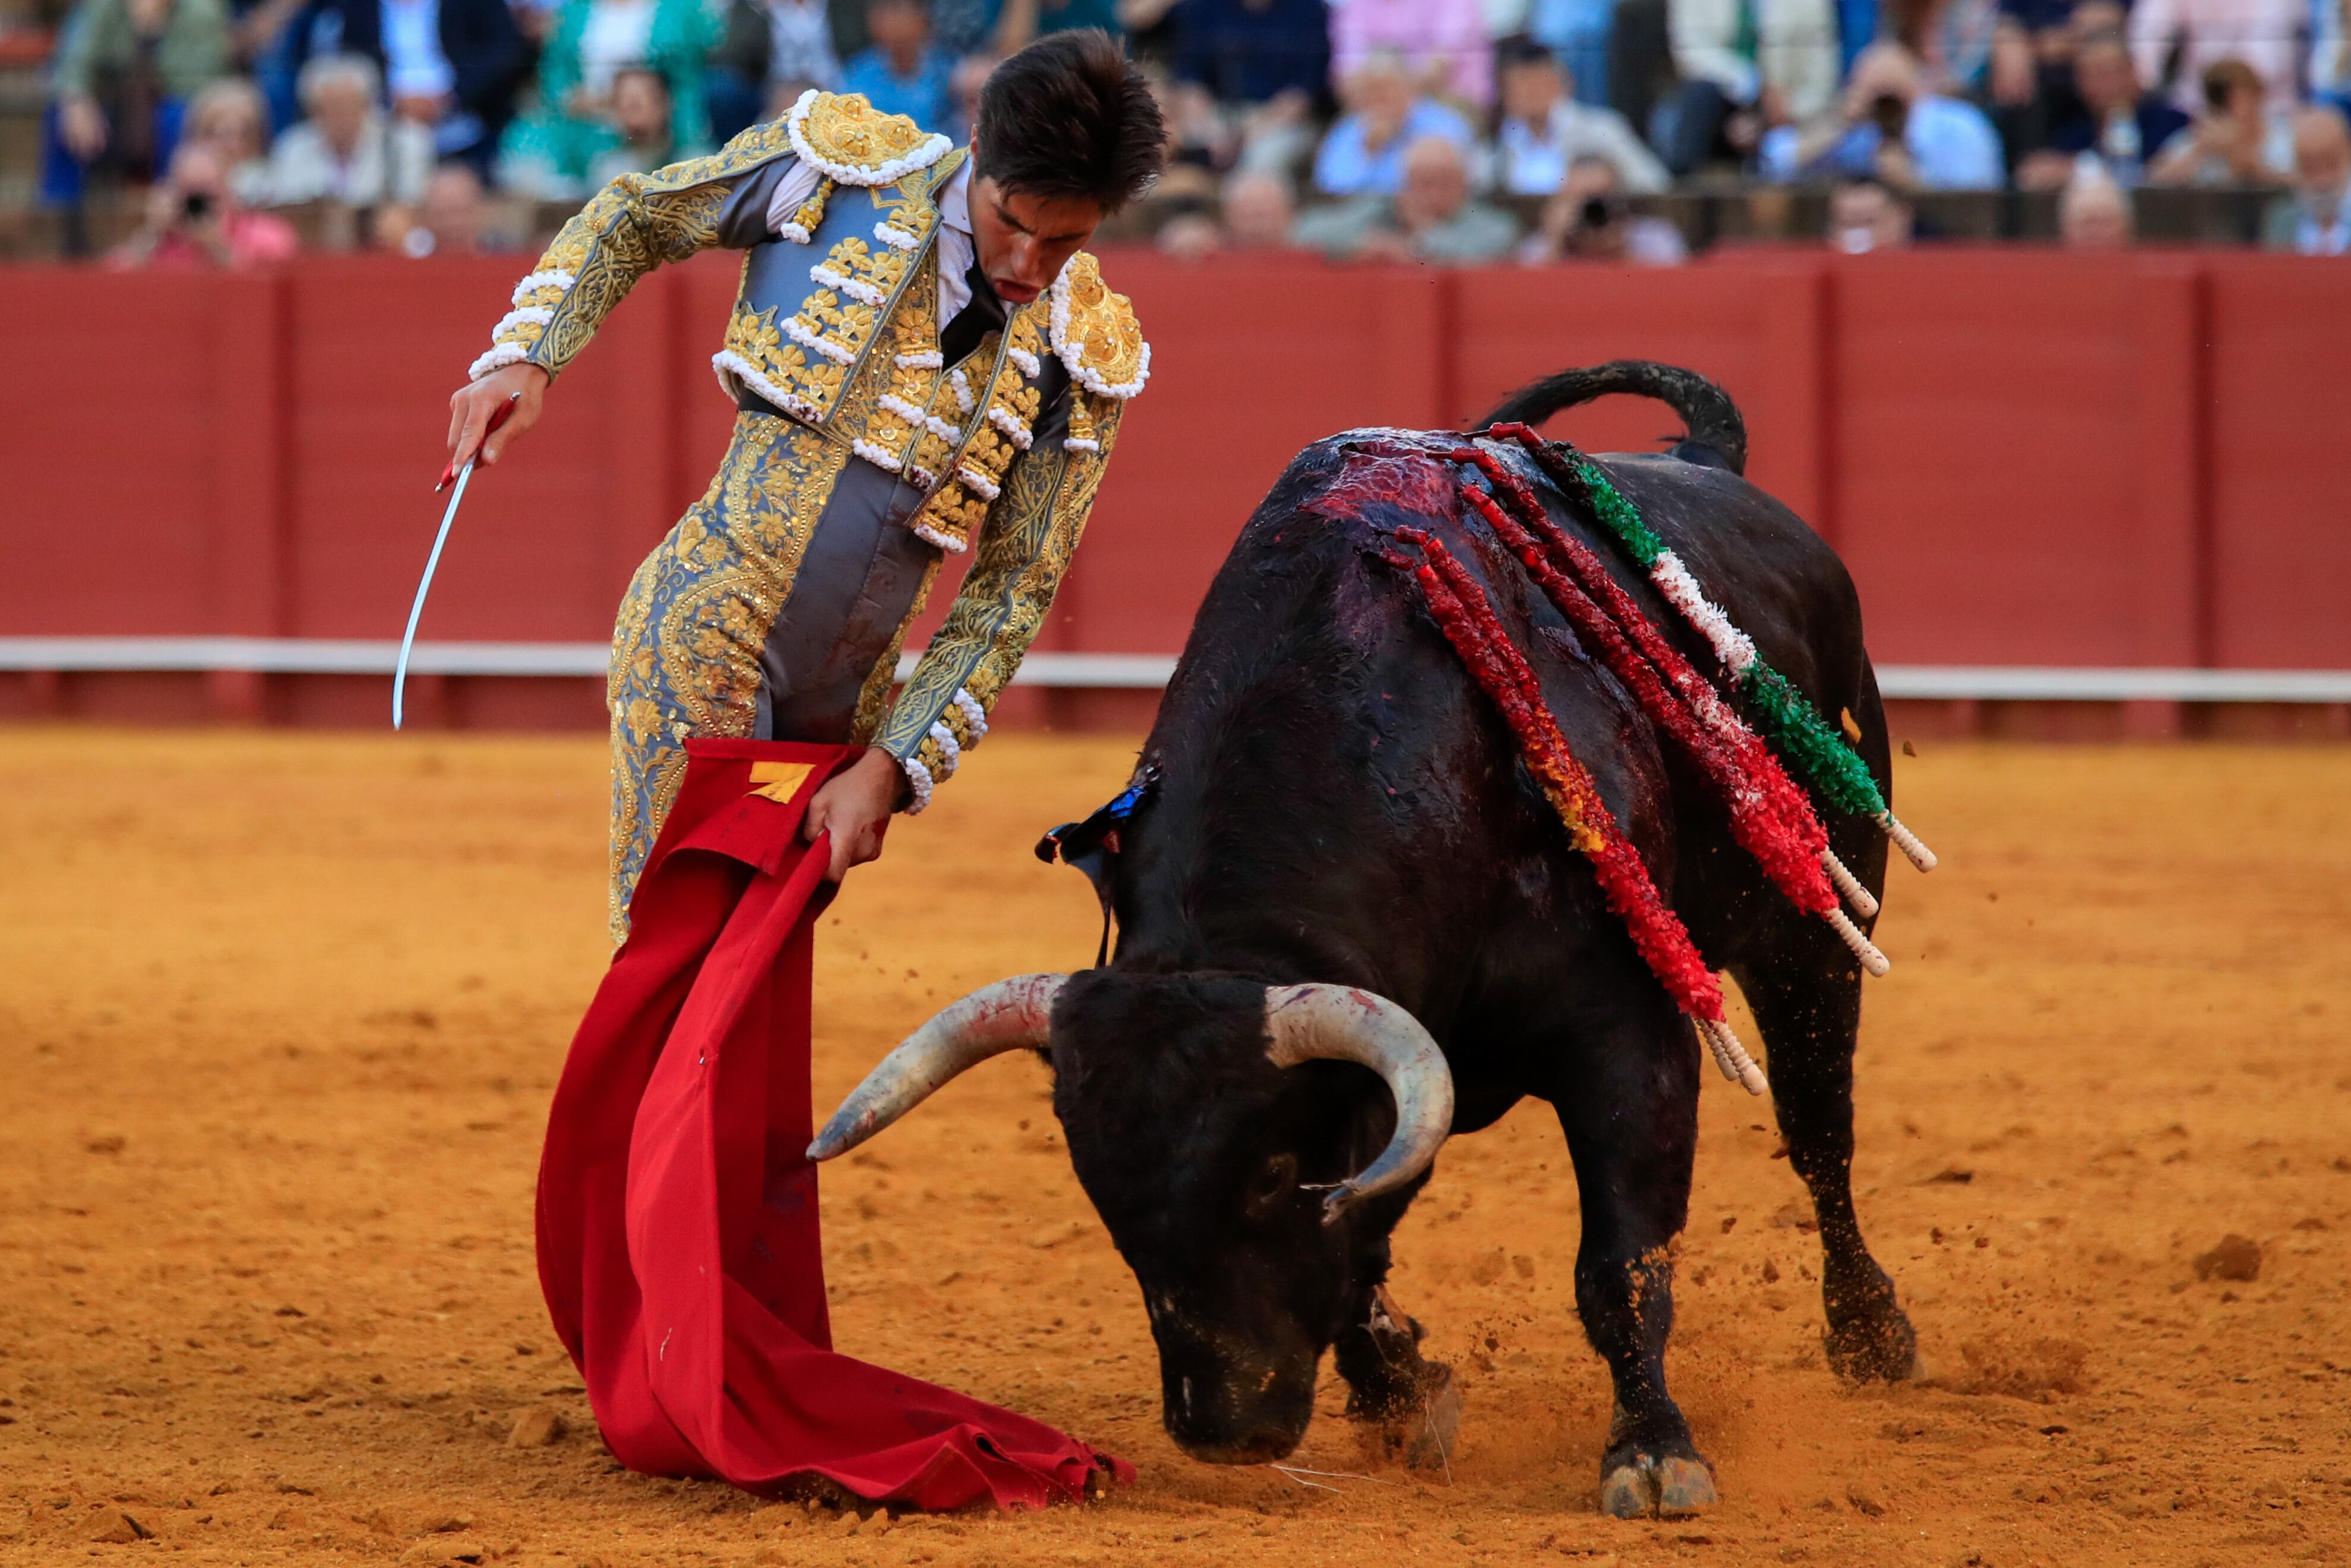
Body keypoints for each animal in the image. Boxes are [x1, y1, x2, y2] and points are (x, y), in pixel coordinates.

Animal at [818, 362, 1918, 1514]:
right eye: (1099, 1185)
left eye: (1267, 1170)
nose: (1222, 1427)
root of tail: (1716, 474)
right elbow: (1359, 1243)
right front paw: (1404, 1391)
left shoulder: (1626, 1032)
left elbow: (1619, 1255)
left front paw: (1653, 1453)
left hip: (1815, 932)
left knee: (1819, 1130)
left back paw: (1871, 1335)